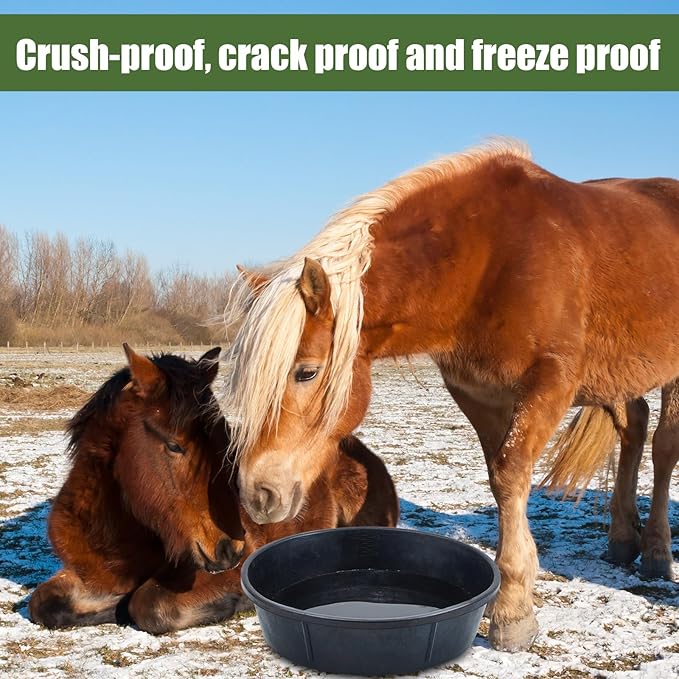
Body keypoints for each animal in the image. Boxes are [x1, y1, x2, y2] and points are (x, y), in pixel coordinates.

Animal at [29, 345, 398, 633]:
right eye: (174, 446)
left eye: (225, 441)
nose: (229, 548)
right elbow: (42, 603)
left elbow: (147, 605)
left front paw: (234, 601)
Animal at [222, 139, 679, 652]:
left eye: (306, 372)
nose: (257, 493)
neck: (490, 256)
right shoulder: (479, 395)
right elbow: (501, 480)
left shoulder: (549, 383)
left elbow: (511, 473)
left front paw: (512, 611)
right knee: (633, 427)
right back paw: (622, 540)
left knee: (664, 448)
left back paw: (656, 551)